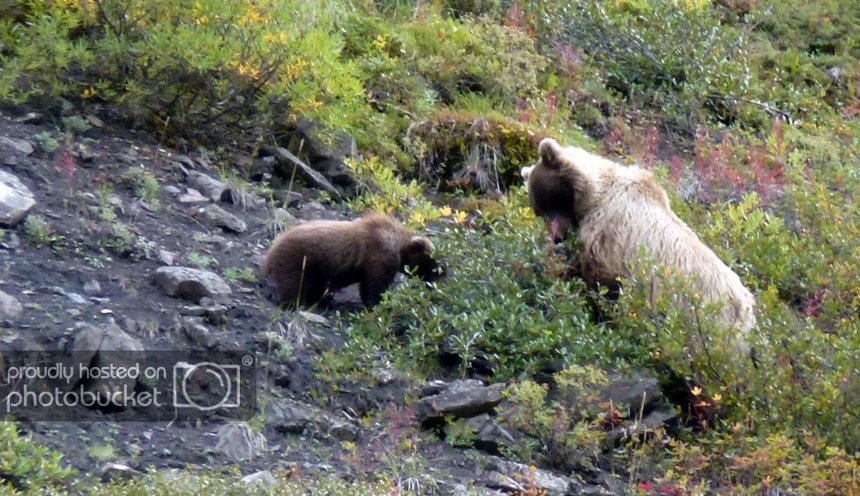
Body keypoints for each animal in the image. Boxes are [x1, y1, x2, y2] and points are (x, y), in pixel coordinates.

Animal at [260, 212, 444, 308]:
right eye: (434, 263)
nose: (442, 276)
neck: (399, 246)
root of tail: (272, 249)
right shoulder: (379, 253)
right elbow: (374, 286)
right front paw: (377, 304)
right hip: (302, 259)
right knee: (293, 283)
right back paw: (295, 303)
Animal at [520, 137, 756, 356]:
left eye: (550, 200)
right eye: (539, 211)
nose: (557, 237)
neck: (594, 197)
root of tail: (748, 312)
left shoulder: (611, 234)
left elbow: (602, 280)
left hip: (703, 319)